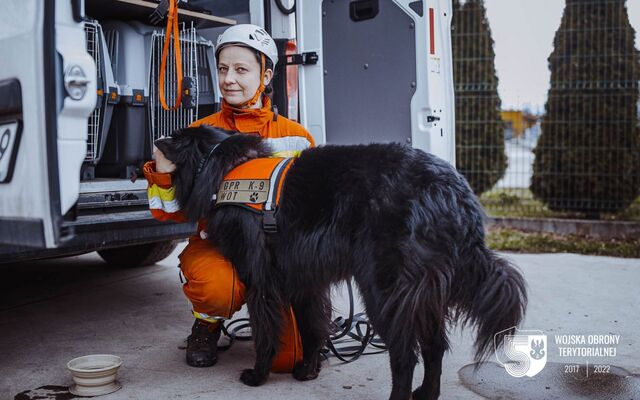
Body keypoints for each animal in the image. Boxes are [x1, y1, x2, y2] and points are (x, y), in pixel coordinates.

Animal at [155, 126, 524, 400]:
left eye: (174, 137)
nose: (155, 142)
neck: (224, 167)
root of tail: (455, 192)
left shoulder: (261, 281)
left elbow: (266, 331)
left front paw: (259, 374)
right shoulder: (304, 283)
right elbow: (312, 327)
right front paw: (307, 371)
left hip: (384, 292)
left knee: (405, 354)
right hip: (423, 295)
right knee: (434, 346)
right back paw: (426, 393)